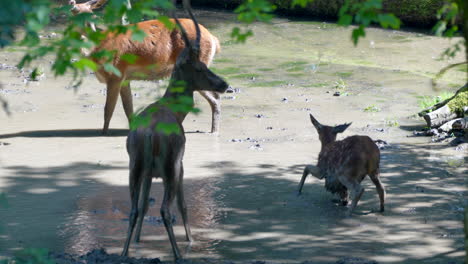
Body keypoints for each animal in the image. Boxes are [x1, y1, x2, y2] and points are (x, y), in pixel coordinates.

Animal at [68, 0, 226, 135]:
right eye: (75, 12)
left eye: (93, 15)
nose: (88, 28)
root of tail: (213, 39)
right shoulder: (124, 78)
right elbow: (128, 108)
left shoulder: (115, 74)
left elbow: (108, 109)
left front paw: (104, 133)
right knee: (214, 97)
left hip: (199, 63)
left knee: (215, 96)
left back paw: (214, 131)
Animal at [121, 0, 229, 260]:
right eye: (200, 67)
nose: (224, 84)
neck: (175, 110)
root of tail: (150, 134)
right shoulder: (181, 164)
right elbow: (183, 205)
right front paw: (190, 240)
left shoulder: (148, 173)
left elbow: (143, 205)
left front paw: (138, 240)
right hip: (170, 165)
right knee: (165, 210)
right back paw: (179, 253)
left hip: (135, 164)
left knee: (133, 209)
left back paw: (124, 253)